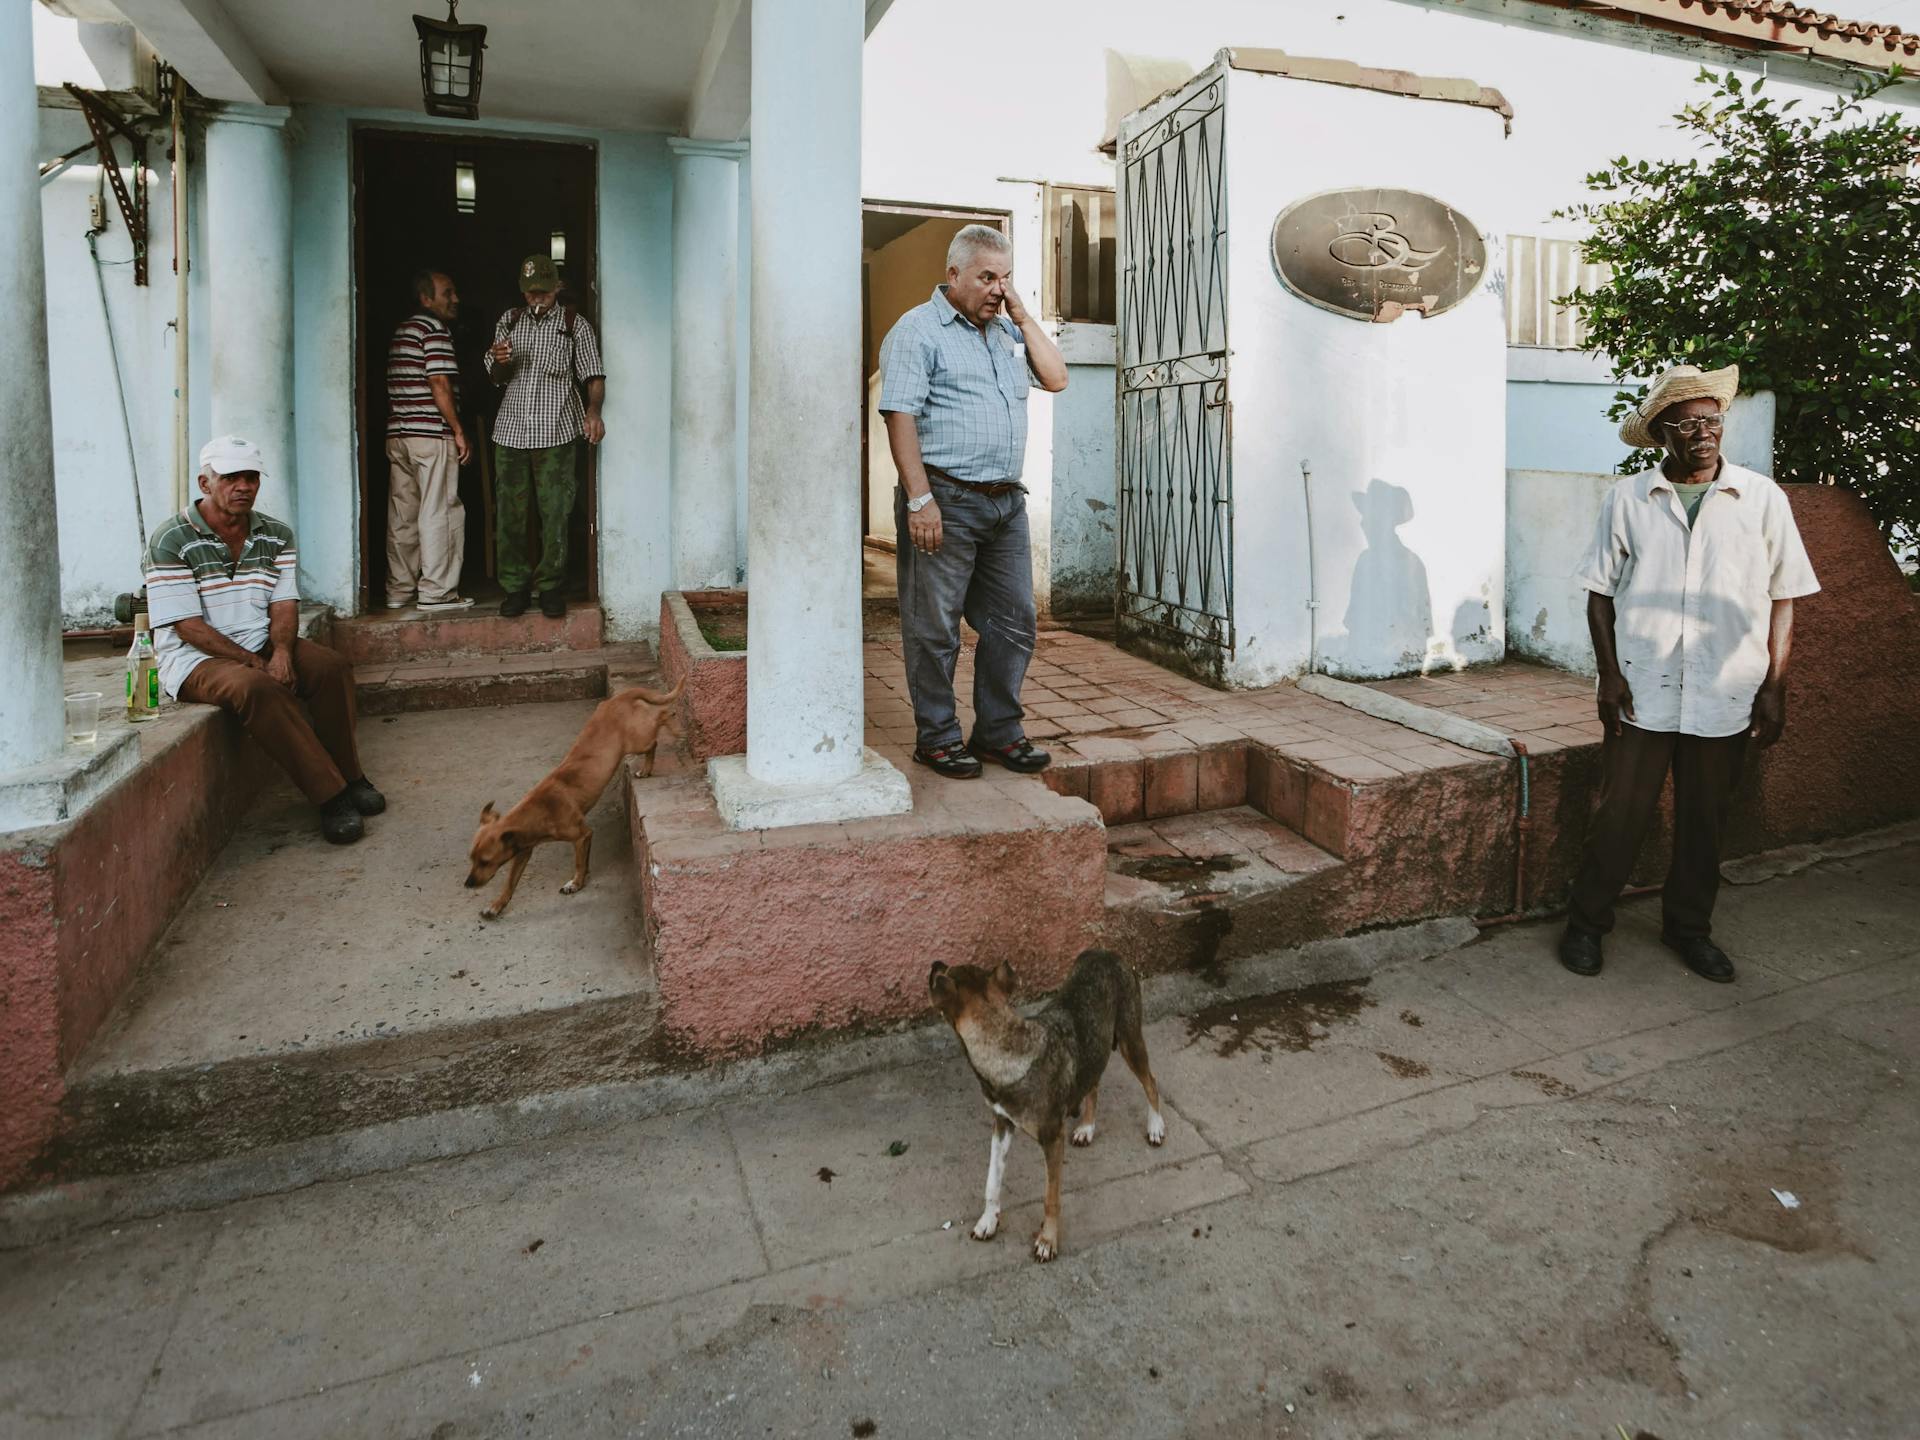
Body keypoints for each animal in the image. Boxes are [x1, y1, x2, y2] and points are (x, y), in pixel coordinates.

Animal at [464, 683, 683, 917]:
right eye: (472, 859)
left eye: (485, 861)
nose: (468, 884)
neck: (539, 810)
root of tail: (620, 697)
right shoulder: (523, 852)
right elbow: (510, 883)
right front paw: (497, 904)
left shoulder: (581, 836)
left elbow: (578, 863)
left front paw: (576, 883)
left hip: (638, 741)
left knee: (659, 724)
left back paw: (669, 736)